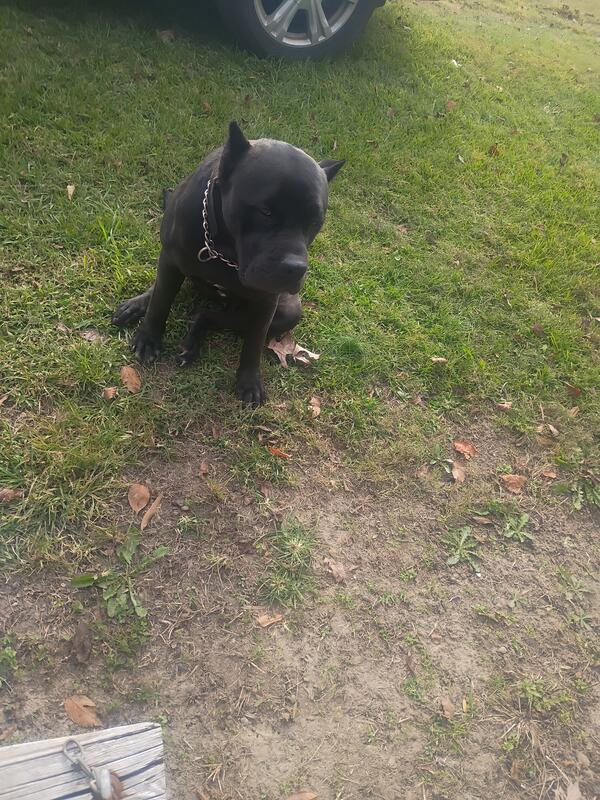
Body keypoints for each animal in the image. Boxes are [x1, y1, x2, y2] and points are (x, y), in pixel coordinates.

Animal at [112, 122, 344, 406]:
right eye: (265, 211)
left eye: (315, 221)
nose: (295, 268)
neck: (223, 250)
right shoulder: (170, 259)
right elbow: (160, 303)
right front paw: (149, 338)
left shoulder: (267, 301)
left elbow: (254, 342)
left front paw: (249, 381)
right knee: (161, 290)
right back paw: (136, 305)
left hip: (287, 311)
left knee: (210, 315)